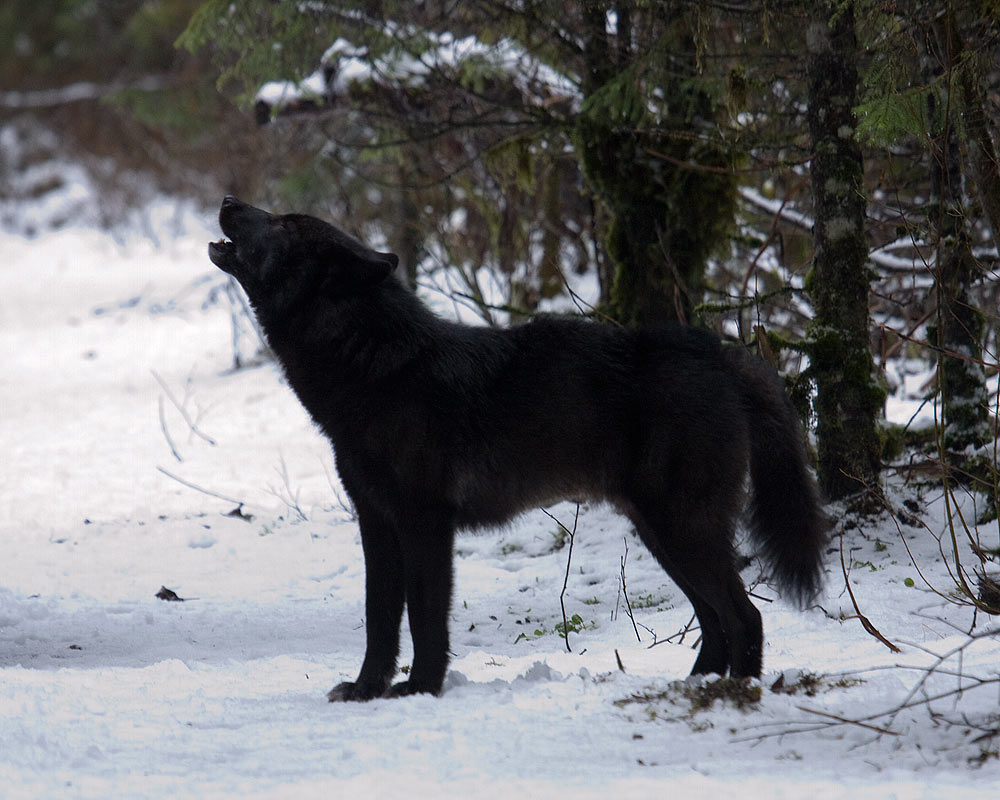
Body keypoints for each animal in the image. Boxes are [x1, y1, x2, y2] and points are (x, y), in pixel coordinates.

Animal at [207, 197, 824, 704]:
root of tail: (718, 352)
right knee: (715, 620)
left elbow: (425, 619)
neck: (378, 367)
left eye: (285, 223)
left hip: (681, 530)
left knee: (744, 617)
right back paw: (691, 691)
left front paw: (420, 690)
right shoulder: (377, 523)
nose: (228, 200)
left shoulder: (425, 524)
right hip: (661, 534)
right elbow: (379, 619)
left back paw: (735, 698)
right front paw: (365, 692)